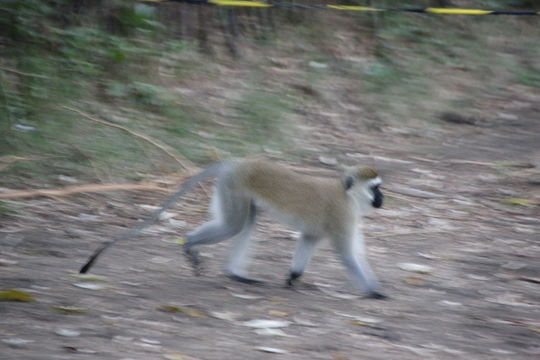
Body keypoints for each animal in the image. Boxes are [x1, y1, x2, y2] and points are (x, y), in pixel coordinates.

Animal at [79, 158, 384, 298]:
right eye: (375, 188)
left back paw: (235, 273)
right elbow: (347, 254)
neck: (347, 194)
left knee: (245, 223)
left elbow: (309, 239)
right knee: (234, 225)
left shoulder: (339, 220)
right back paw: (189, 243)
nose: (383, 199)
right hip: (233, 187)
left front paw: (293, 277)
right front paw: (374, 292)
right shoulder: (343, 214)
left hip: (234, 190)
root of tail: (238, 162)